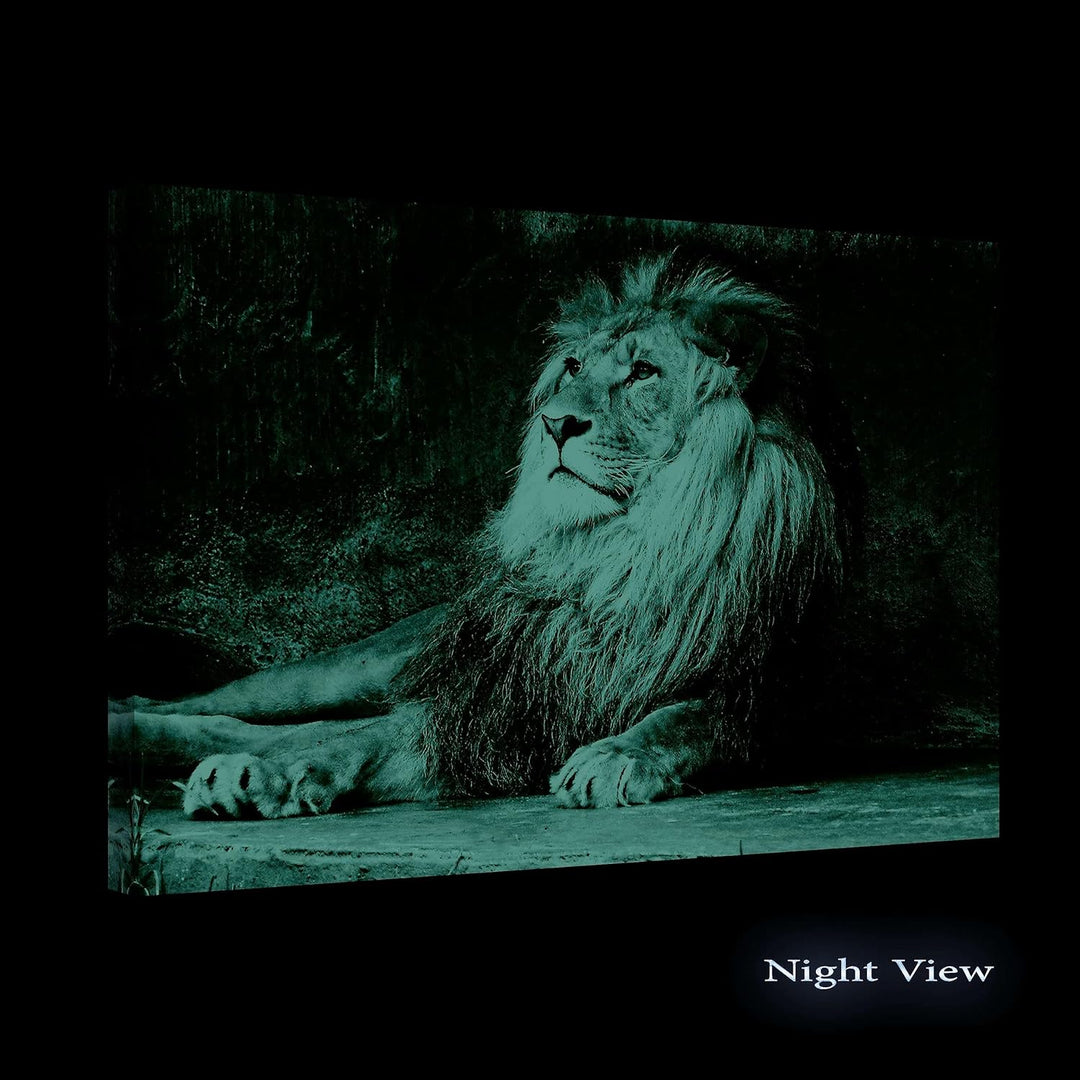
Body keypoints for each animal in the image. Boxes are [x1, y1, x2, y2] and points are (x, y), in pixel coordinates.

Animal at [112, 254, 844, 818]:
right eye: (573, 368)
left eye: (643, 373)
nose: (556, 423)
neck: (616, 554)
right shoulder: (489, 707)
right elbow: (357, 742)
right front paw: (253, 780)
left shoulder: (767, 707)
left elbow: (685, 718)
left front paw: (614, 754)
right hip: (361, 665)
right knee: (255, 711)